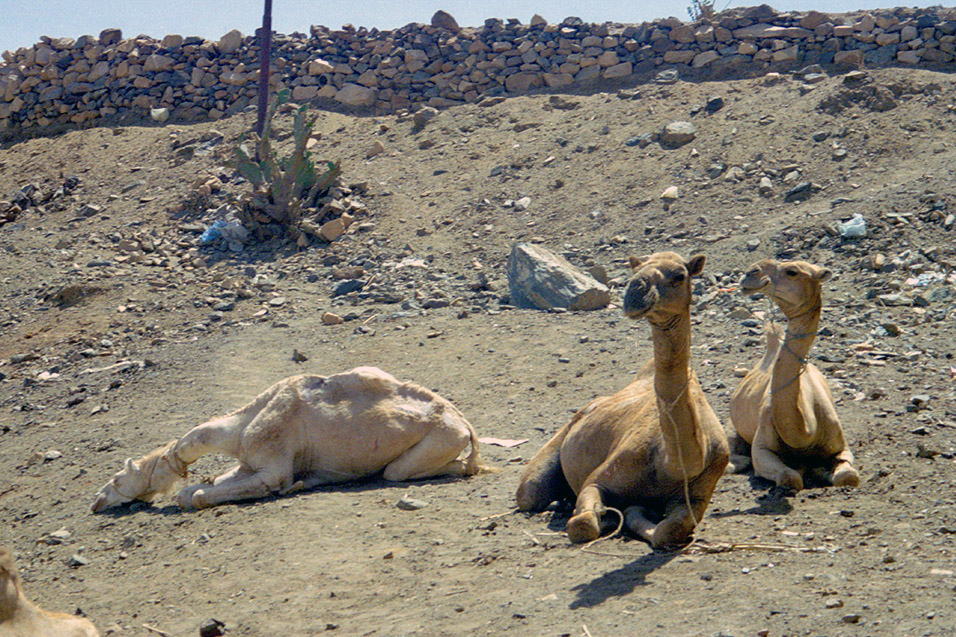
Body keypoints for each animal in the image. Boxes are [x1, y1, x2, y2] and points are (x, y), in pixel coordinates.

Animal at [91, 366, 492, 510]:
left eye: (117, 478)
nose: (97, 501)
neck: (240, 429)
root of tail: (464, 423)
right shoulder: (248, 464)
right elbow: (206, 485)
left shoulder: (272, 467)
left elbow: (200, 495)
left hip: (439, 441)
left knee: (406, 471)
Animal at [520, 252, 728, 548]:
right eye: (636, 269)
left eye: (679, 275)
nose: (635, 290)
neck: (672, 464)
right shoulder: (598, 480)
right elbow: (583, 524)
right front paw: (608, 517)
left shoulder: (699, 493)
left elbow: (670, 530)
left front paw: (632, 515)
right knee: (530, 492)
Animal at [732, 258, 860, 486]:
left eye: (792, 271)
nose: (750, 273)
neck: (806, 431)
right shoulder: (761, 448)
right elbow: (789, 477)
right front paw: (807, 470)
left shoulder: (841, 446)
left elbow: (849, 476)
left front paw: (822, 471)